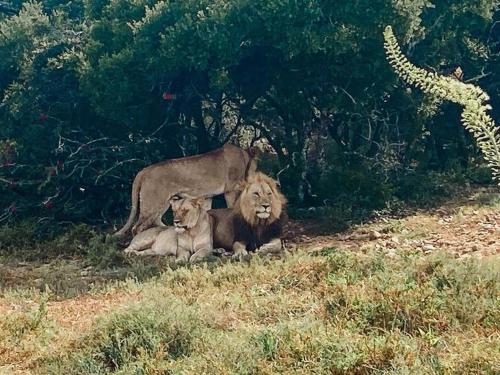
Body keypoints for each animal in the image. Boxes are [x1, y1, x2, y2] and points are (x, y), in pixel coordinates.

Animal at [114, 144, 256, 238]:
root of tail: (143, 171)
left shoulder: (207, 196)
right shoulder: (231, 190)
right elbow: (232, 209)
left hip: (164, 202)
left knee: (156, 220)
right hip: (152, 203)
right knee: (137, 228)